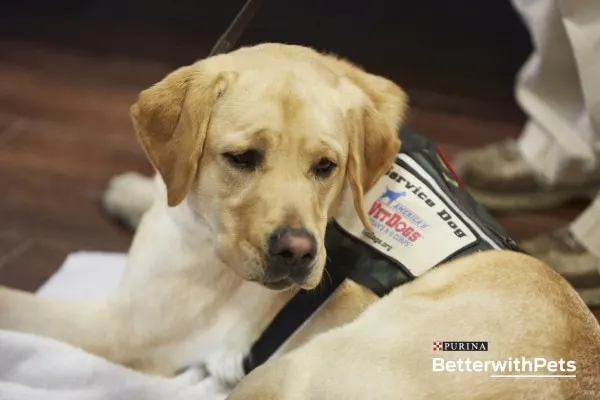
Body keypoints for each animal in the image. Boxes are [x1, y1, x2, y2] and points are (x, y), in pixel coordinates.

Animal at [0, 42, 596, 398]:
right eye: (242, 158)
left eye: (325, 166)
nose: (297, 252)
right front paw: (131, 189)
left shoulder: (122, 330)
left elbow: (15, 304)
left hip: (288, 370)